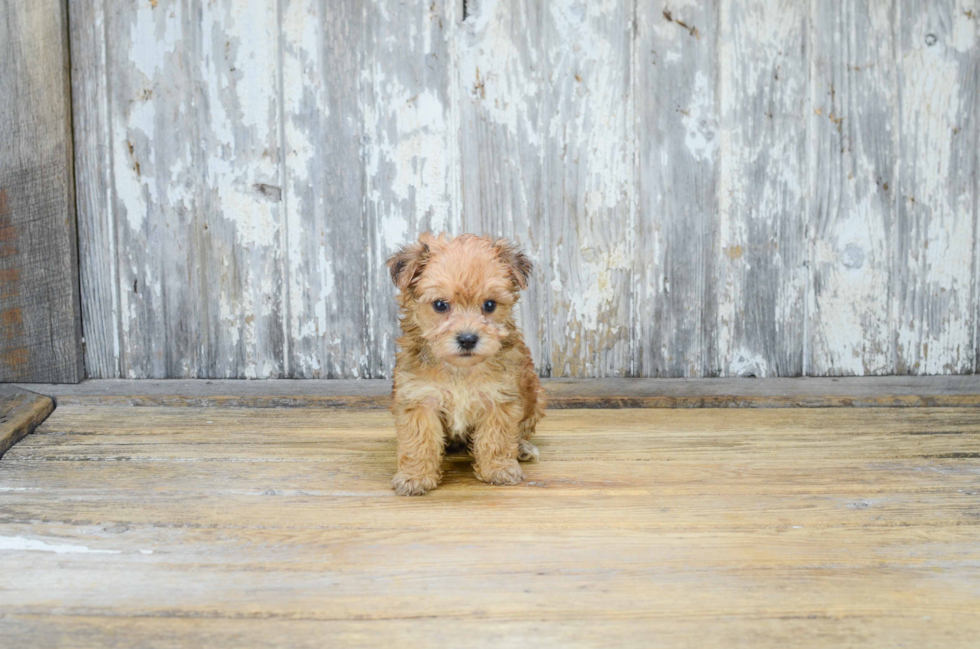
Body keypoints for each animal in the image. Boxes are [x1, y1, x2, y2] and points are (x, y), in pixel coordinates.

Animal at [388, 233, 544, 496]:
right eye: (440, 305)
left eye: (489, 305)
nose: (468, 339)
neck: (460, 369)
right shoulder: (419, 398)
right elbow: (419, 440)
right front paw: (415, 477)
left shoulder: (499, 397)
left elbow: (497, 437)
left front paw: (498, 468)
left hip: (534, 395)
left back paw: (522, 447)